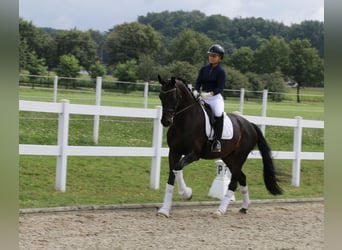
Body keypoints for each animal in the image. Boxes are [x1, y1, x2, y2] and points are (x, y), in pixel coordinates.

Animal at [156, 74, 282, 217]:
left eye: (173, 97)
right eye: (161, 96)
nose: (165, 121)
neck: (184, 121)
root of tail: (250, 125)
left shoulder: (194, 154)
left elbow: (177, 168)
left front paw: (187, 193)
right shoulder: (174, 152)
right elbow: (172, 176)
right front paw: (164, 210)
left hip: (239, 157)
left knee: (234, 183)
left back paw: (220, 210)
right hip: (229, 158)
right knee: (242, 178)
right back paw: (244, 207)